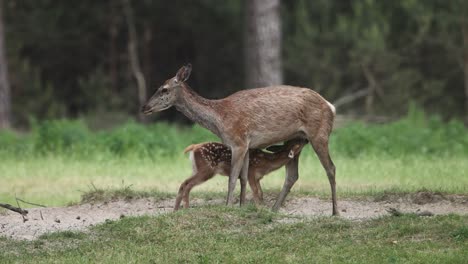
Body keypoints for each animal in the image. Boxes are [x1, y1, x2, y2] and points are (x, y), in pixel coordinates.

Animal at [141, 64, 338, 214]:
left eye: (164, 89)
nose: (145, 107)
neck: (220, 119)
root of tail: (331, 106)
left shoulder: (238, 142)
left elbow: (233, 178)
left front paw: (228, 206)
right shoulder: (248, 145)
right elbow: (243, 177)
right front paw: (242, 207)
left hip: (319, 134)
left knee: (330, 168)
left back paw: (335, 212)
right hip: (297, 139)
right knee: (292, 175)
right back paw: (274, 209)